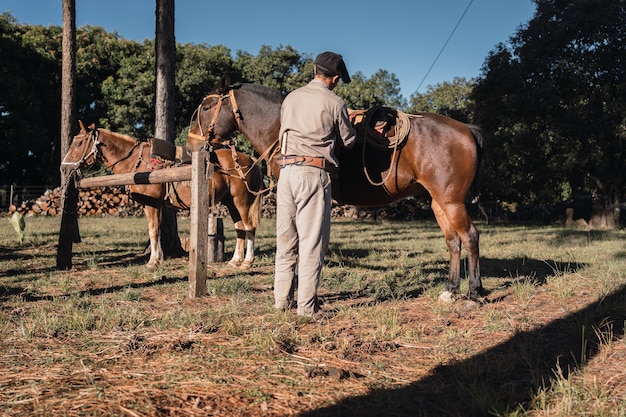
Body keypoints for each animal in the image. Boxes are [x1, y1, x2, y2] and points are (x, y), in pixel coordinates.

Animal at [185, 79, 482, 300]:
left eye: (207, 107)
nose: (190, 145)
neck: (286, 128)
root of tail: (467, 129)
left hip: (452, 201)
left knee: (470, 236)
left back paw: (474, 291)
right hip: (438, 202)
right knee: (453, 241)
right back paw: (451, 290)